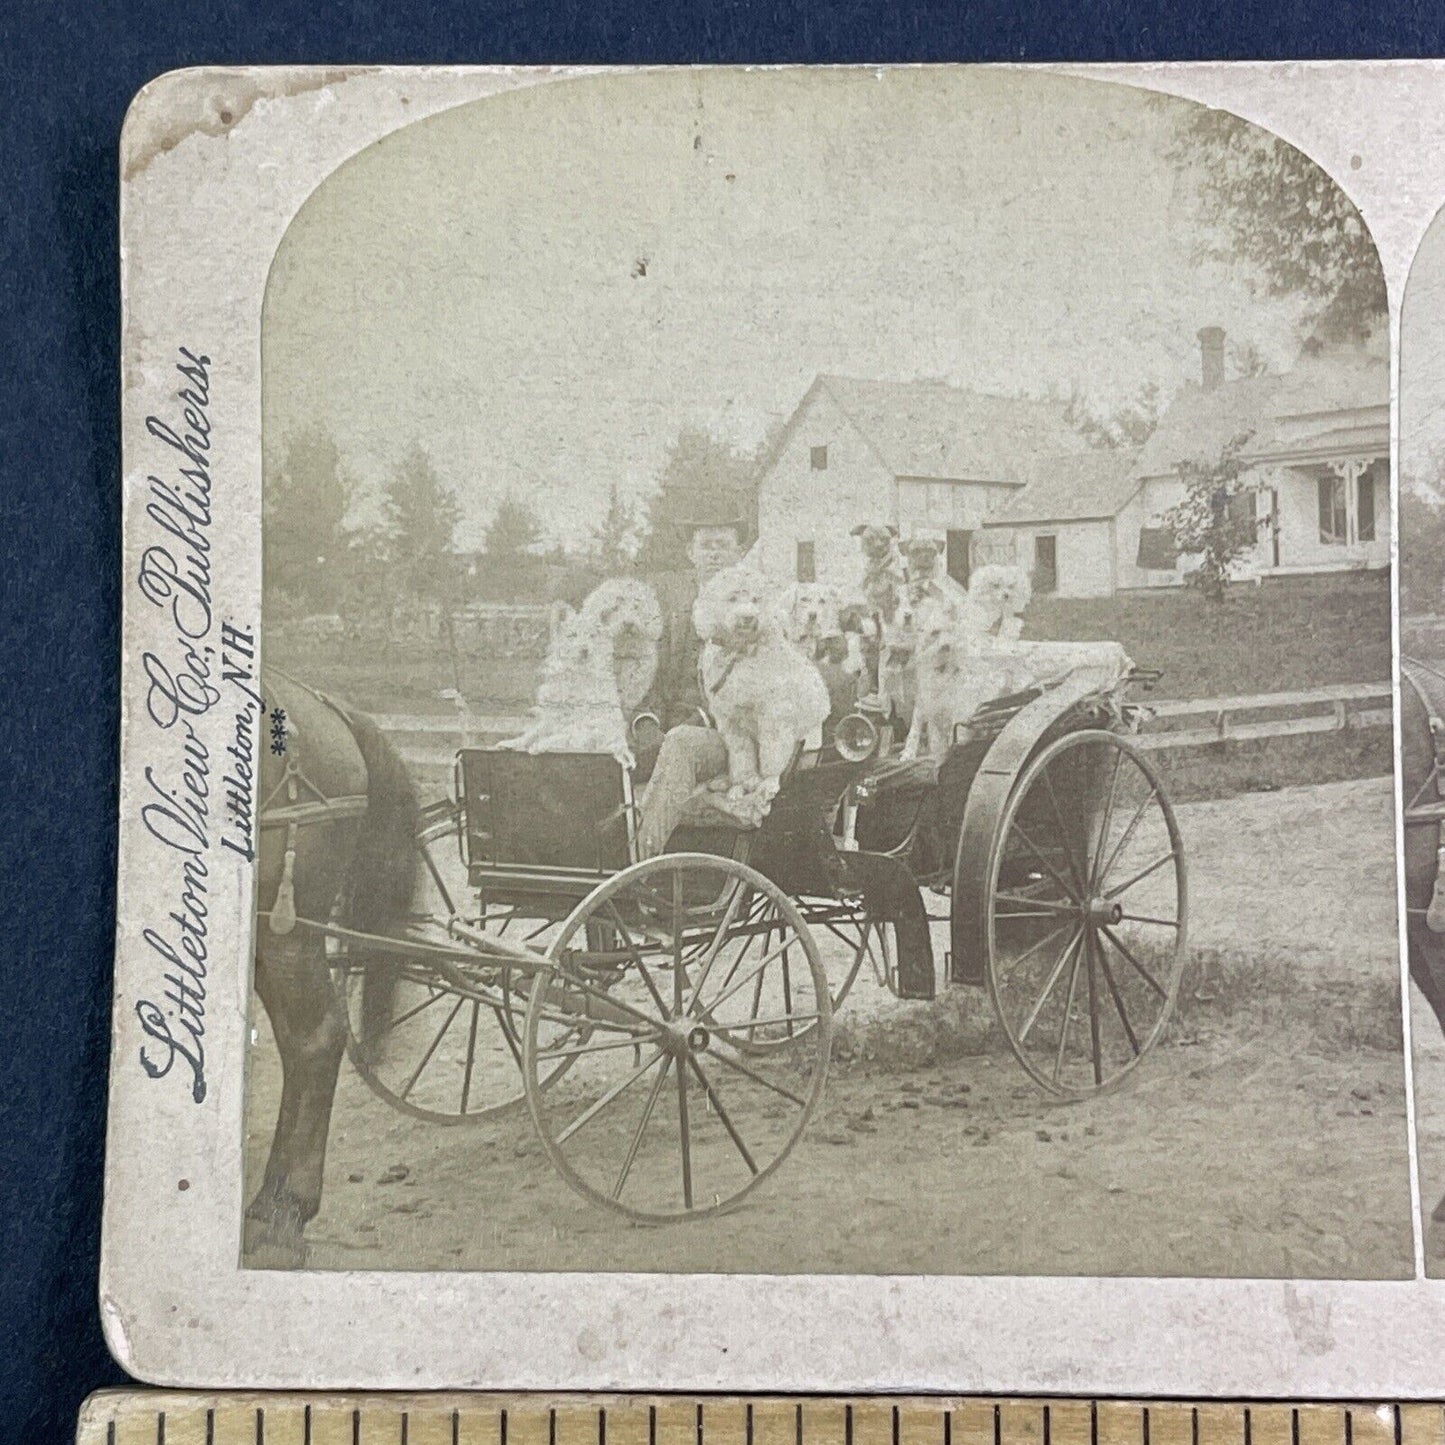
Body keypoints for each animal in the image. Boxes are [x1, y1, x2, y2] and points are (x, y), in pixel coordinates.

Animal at [693, 557, 832, 820]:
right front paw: (740, 786)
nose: (748, 617)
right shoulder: (731, 722)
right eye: (732, 599)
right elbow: (741, 757)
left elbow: (772, 752)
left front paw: (767, 782)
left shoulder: (774, 716)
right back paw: (725, 782)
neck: (742, 650)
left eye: (757, 599)